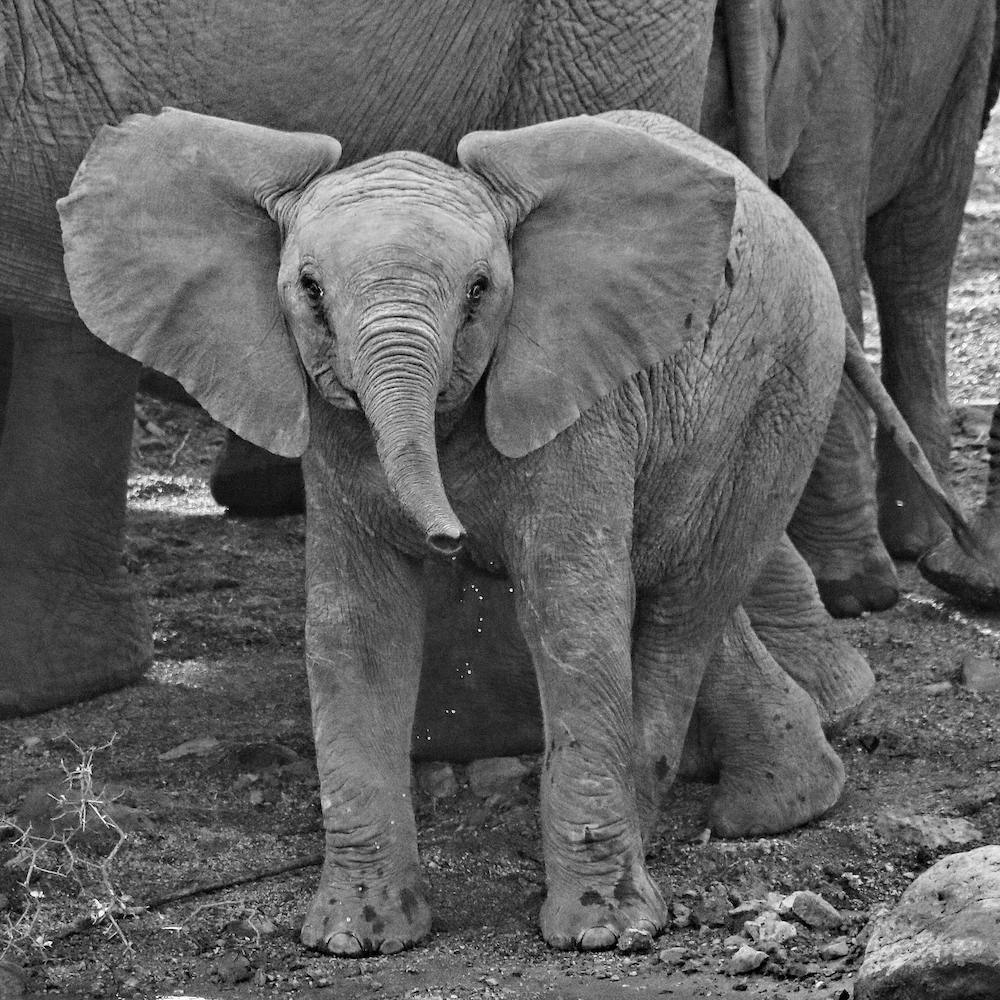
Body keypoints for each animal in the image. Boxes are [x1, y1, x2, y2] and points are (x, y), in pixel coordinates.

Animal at [57, 107, 975, 953]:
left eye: (479, 293)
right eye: (309, 290)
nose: (450, 540)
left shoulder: (580, 405)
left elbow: (571, 614)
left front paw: (600, 934)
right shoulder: (332, 428)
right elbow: (355, 629)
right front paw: (356, 936)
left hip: (780, 393)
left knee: (684, 600)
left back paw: (688, 830)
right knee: (684, 590)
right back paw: (776, 804)